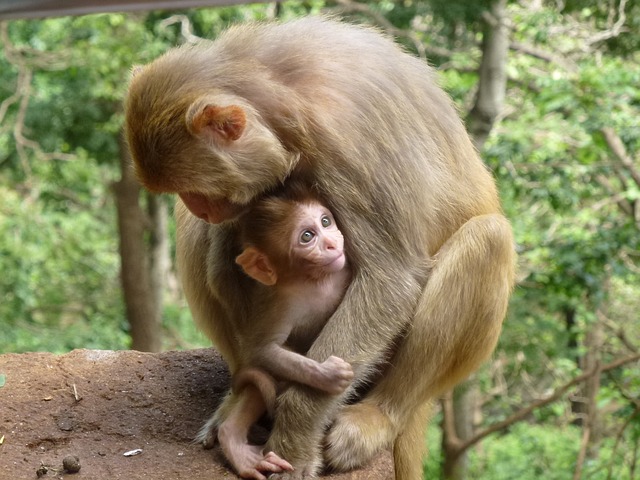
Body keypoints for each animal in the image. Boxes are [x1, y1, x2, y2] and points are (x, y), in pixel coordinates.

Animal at [215, 191, 356, 480]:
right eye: (307, 236)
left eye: (326, 221)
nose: (331, 244)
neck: (319, 280)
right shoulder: (282, 300)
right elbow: (263, 350)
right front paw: (328, 375)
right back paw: (232, 439)